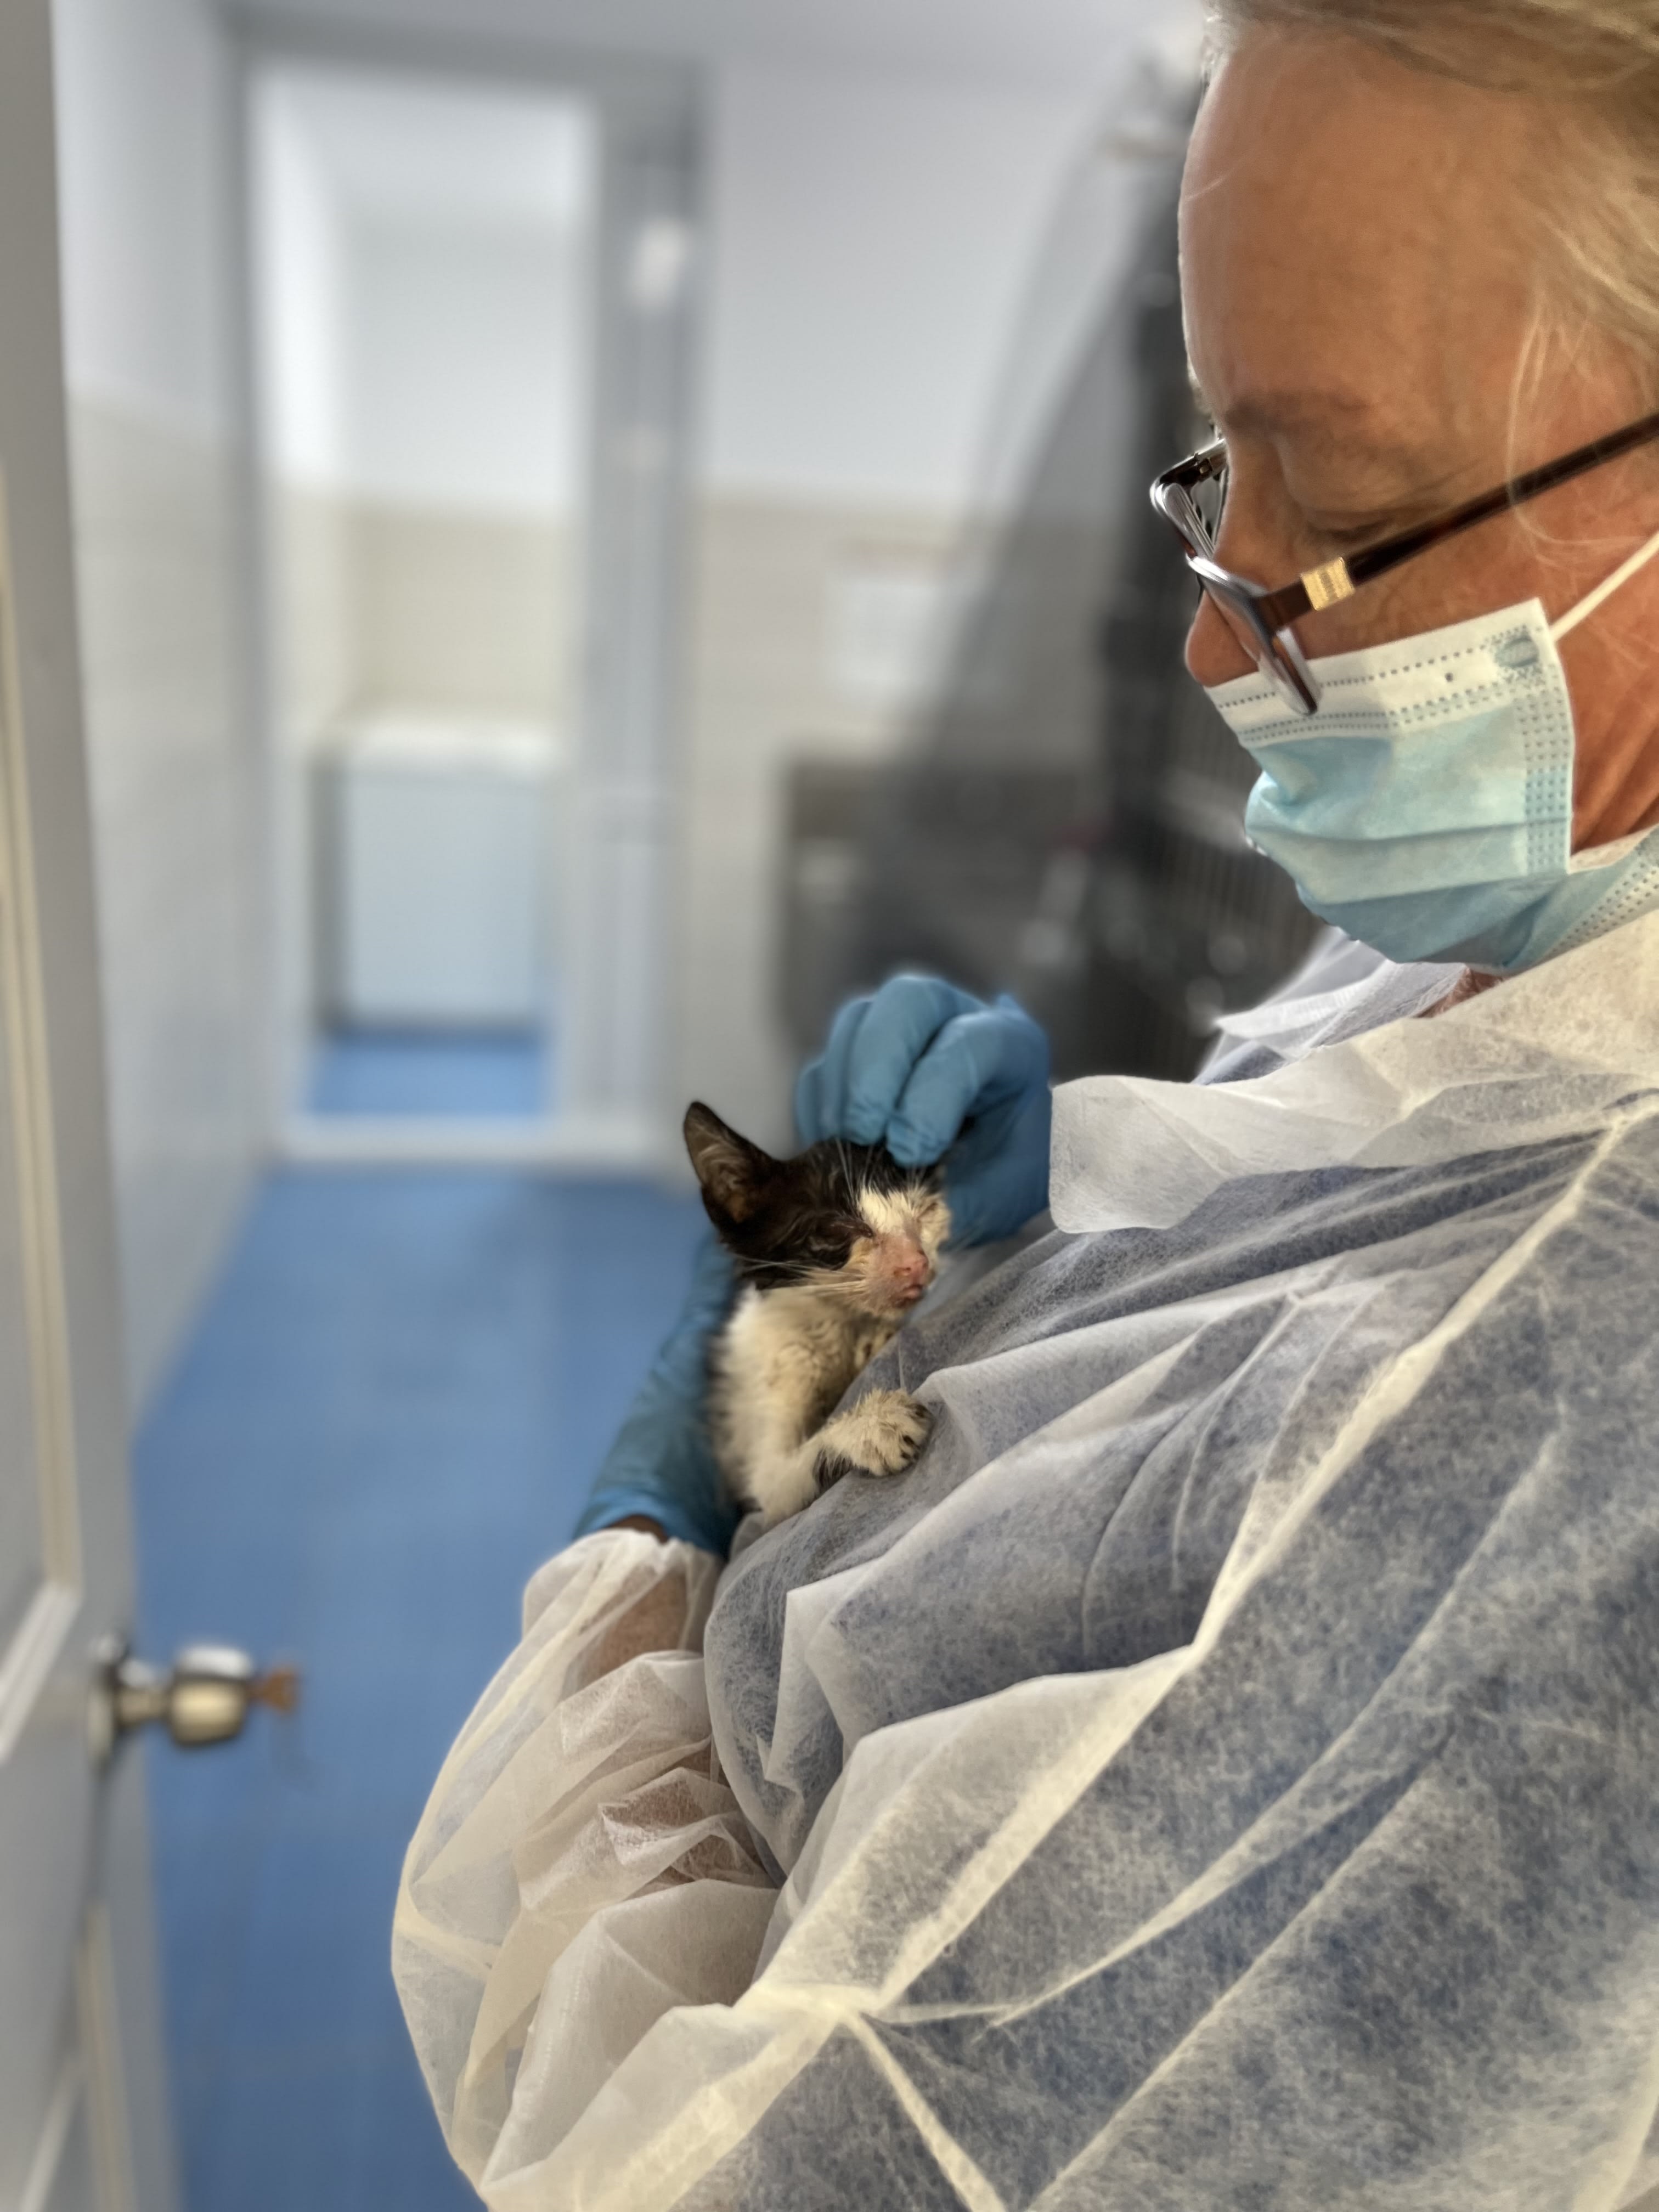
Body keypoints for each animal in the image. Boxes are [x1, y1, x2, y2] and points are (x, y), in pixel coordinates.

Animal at [685, 1101, 946, 1531]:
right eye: (839, 1230)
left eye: (926, 1211)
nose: (916, 1262)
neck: (834, 1321)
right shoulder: (769, 1476)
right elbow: (785, 1475)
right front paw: (875, 1424)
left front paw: (875, 1342)